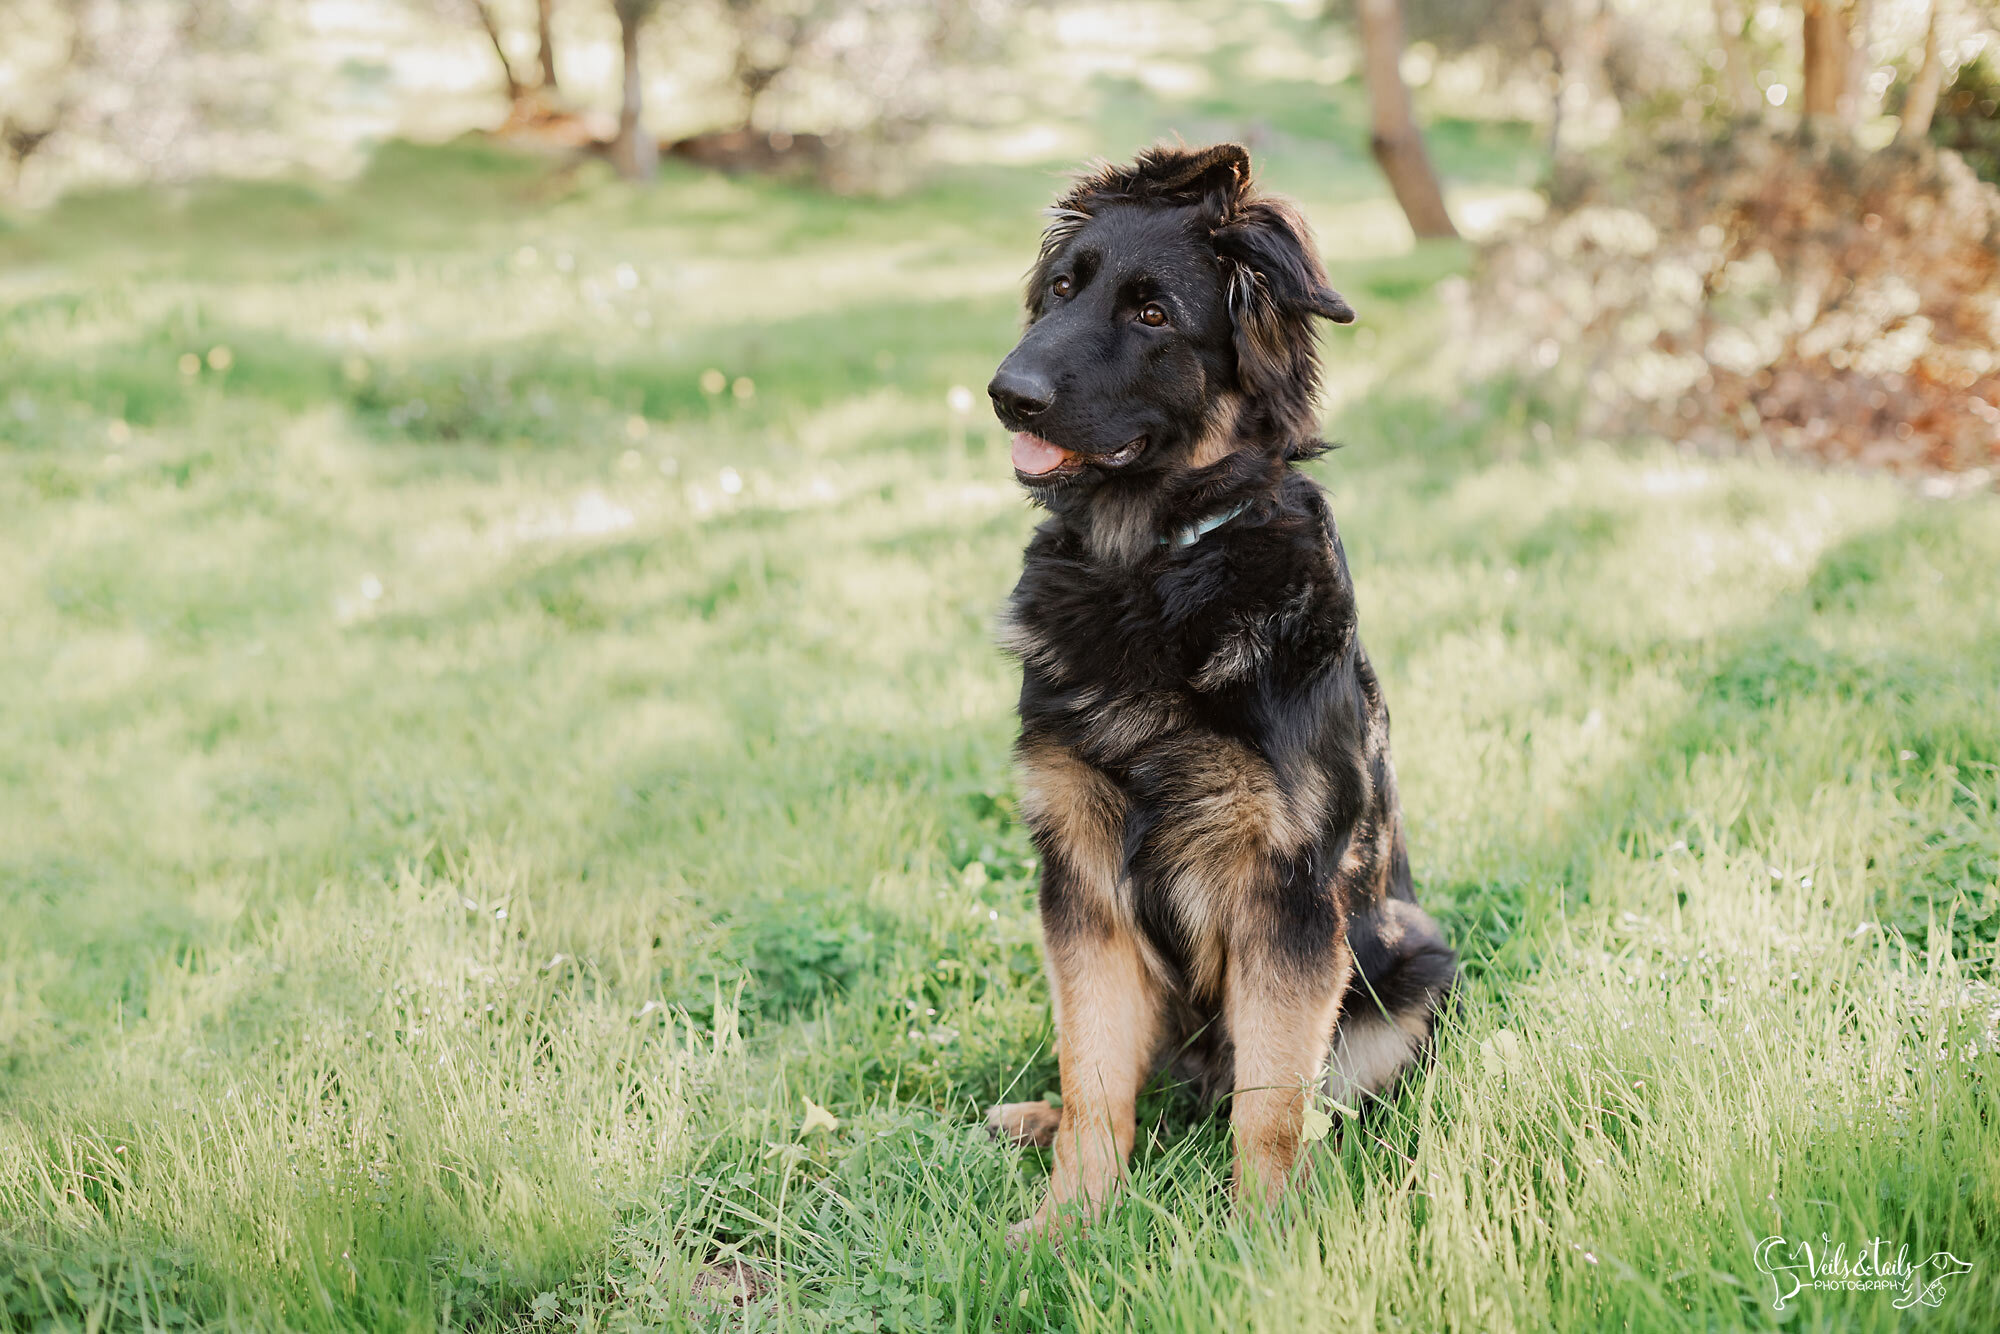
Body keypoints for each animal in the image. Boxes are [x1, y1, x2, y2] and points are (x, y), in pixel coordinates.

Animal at [980, 146, 1456, 1240]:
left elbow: (1271, 1103)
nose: (1006, 393)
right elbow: (1094, 1077)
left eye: (1154, 313)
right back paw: (1031, 1118)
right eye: (1061, 288)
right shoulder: (1080, 880)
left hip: (1411, 958)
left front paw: (1263, 1238)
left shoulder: (1287, 894)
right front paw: (1066, 1222)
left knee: (1318, 1096)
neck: (1156, 567)